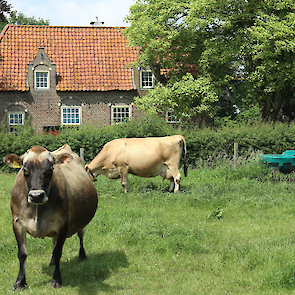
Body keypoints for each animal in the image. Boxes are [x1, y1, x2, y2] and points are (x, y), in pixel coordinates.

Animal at [3, 145, 98, 290]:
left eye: (51, 169)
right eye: (25, 169)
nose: (36, 195)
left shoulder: (63, 223)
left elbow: (58, 252)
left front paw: (56, 280)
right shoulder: (17, 222)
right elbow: (22, 253)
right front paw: (20, 282)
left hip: (80, 221)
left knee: (80, 235)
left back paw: (82, 255)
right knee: (54, 240)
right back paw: (52, 262)